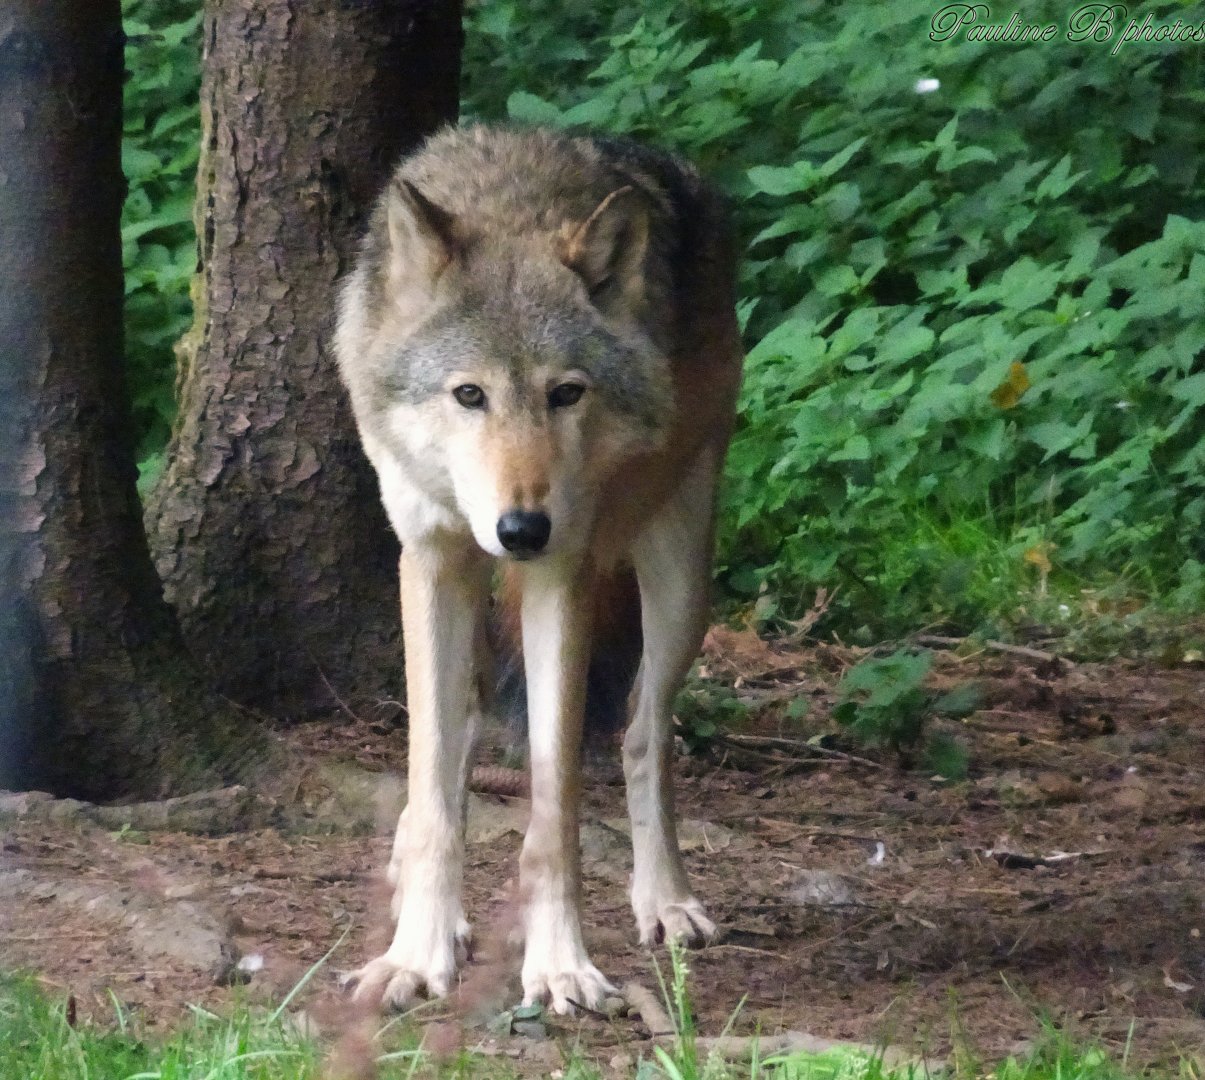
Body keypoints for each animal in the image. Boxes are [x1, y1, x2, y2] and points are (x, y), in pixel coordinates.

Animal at [334, 125, 743, 1014]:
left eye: (565, 393)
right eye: (468, 395)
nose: (521, 528)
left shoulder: (564, 572)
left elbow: (553, 811)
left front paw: (560, 968)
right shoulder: (430, 558)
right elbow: (432, 786)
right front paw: (414, 955)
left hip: (680, 581)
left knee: (642, 733)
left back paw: (666, 902)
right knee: (456, 740)